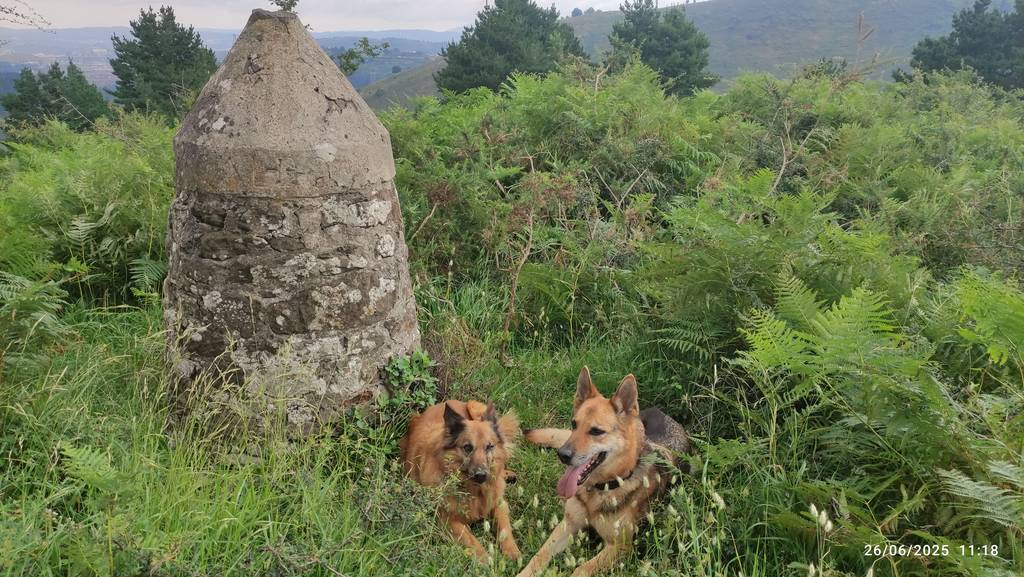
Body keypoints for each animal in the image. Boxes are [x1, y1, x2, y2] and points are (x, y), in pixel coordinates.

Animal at [400, 399, 522, 562]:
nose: (481, 475)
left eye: (489, 446)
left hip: (474, 406)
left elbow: (504, 528)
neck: (475, 491)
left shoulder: (498, 503)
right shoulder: (448, 521)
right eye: (467, 447)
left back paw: (507, 474)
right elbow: (472, 541)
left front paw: (512, 552)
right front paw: (486, 560)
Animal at [517, 367, 691, 577]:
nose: (562, 455)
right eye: (574, 424)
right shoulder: (567, 525)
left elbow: (581, 569)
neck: (601, 488)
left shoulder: (619, 547)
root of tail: (664, 414)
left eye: (596, 431)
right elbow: (539, 556)